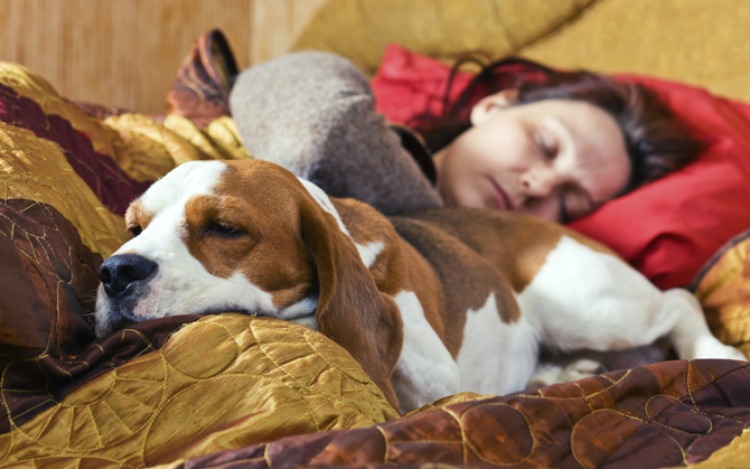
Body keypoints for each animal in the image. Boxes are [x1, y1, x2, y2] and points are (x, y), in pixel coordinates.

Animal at [97, 159, 748, 412]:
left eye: (225, 228)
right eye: (134, 228)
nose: (114, 272)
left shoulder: (435, 371)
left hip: (589, 307)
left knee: (680, 300)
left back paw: (713, 349)